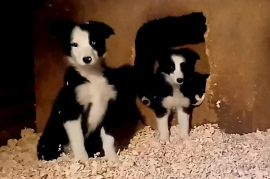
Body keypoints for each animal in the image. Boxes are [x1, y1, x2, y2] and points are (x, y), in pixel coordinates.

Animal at [37, 19, 119, 162]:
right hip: (50, 141)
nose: (87, 59)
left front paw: (113, 159)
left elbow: (108, 137)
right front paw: (83, 160)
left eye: (94, 42)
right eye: (74, 44)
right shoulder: (71, 111)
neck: (92, 75)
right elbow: (78, 137)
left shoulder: (109, 107)